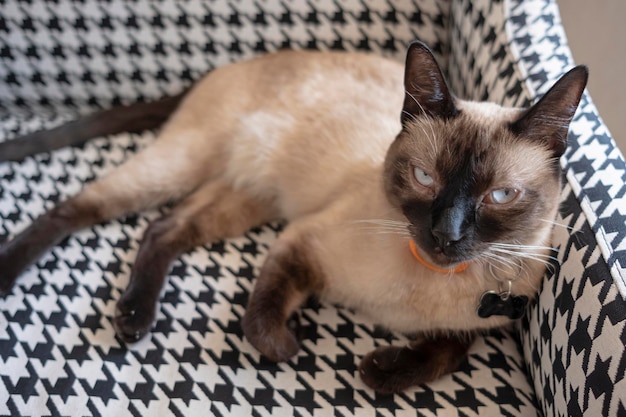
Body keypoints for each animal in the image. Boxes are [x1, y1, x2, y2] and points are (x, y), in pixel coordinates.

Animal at [0, 40, 584, 392]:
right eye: (424, 178)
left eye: (500, 195)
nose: (446, 234)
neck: (430, 281)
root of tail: (231, 65)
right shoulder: (301, 242)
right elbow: (262, 324)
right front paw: (293, 342)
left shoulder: (478, 326)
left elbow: (450, 351)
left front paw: (378, 371)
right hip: (184, 167)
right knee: (75, 209)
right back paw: (36, 283)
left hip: (248, 197)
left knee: (164, 228)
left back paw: (135, 316)